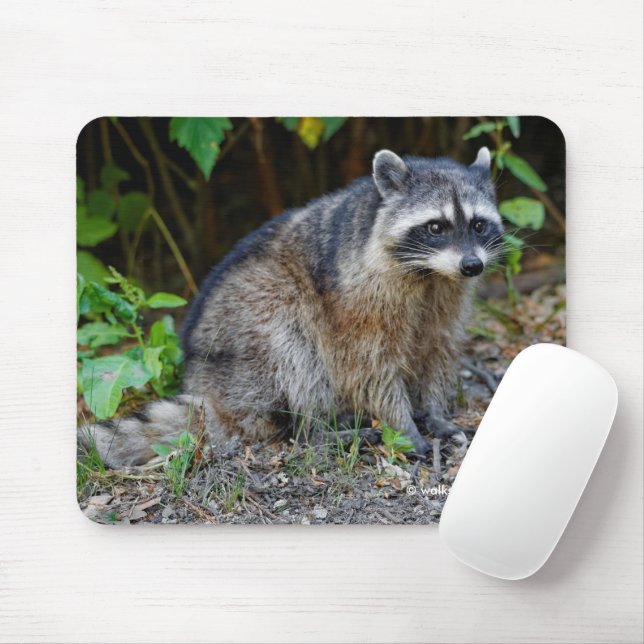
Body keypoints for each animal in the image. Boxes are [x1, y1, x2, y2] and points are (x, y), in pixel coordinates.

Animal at [81, 147, 504, 467]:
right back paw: (317, 431)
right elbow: (368, 366)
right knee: (294, 355)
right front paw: (401, 424)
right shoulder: (356, 296)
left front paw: (434, 412)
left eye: (479, 225)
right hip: (250, 327)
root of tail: (205, 386)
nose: (472, 265)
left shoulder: (447, 297)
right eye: (436, 227)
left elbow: (437, 348)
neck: (430, 273)